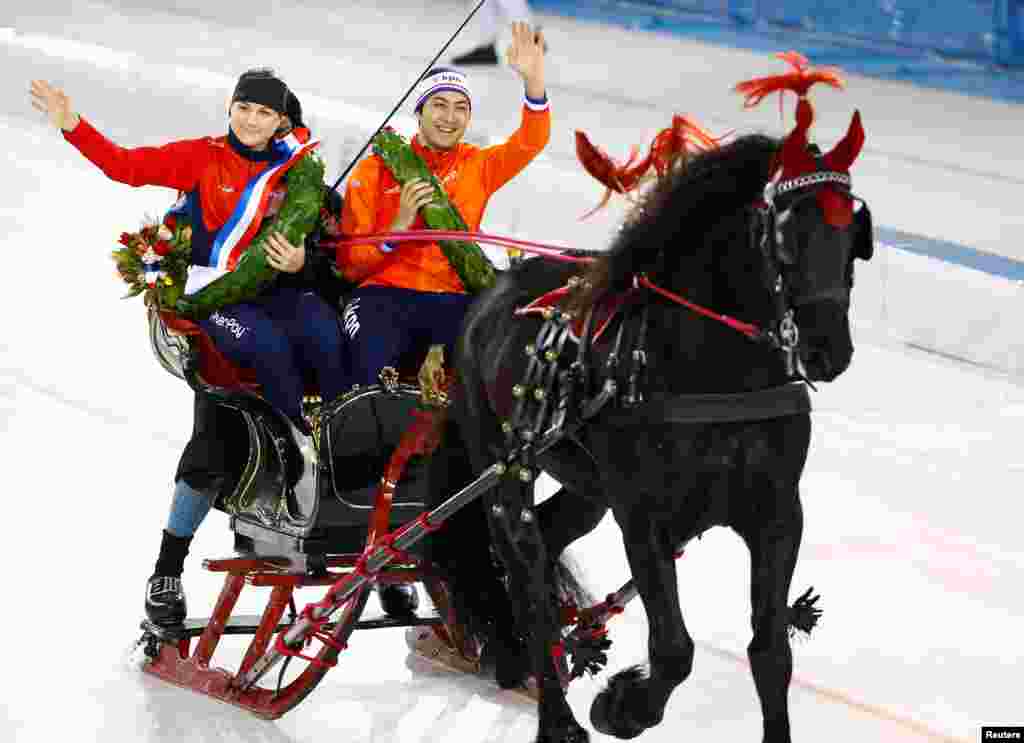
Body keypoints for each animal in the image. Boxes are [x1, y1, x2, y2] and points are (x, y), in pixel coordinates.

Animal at [423, 113, 872, 740]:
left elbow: (770, 652)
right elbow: (674, 649)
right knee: (525, 567)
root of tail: (491, 294)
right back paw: (555, 712)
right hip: (503, 466)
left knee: (549, 536)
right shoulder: (644, 518)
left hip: (588, 489)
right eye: (784, 233)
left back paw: (519, 656)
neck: (718, 376)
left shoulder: (778, 513)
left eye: (853, 233)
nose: (828, 348)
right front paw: (624, 705)